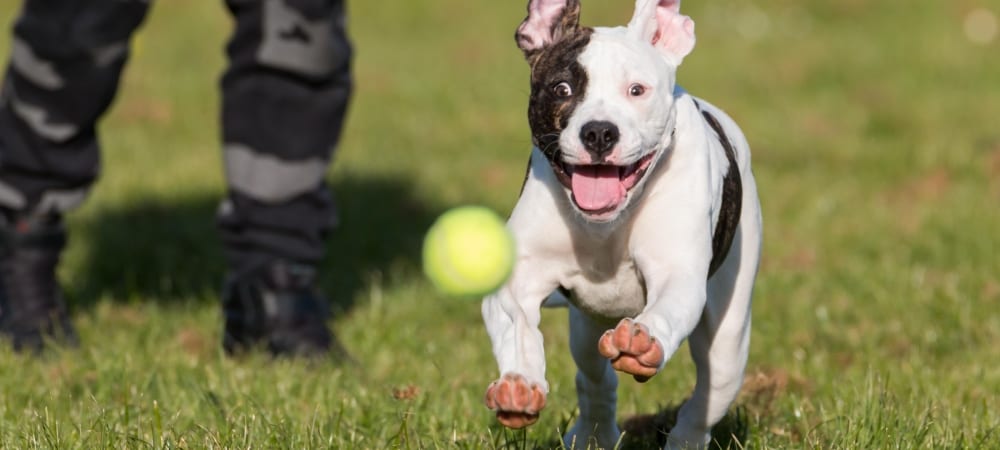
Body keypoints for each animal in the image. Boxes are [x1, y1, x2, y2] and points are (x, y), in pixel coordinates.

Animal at [480, 1, 760, 448]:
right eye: (562, 89)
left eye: (636, 90)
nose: (598, 132)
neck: (606, 224)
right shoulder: (517, 279)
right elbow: (517, 324)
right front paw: (518, 384)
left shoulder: (678, 274)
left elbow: (667, 305)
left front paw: (641, 340)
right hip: (586, 328)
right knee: (595, 379)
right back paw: (592, 434)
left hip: (729, 335)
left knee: (709, 394)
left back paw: (684, 438)